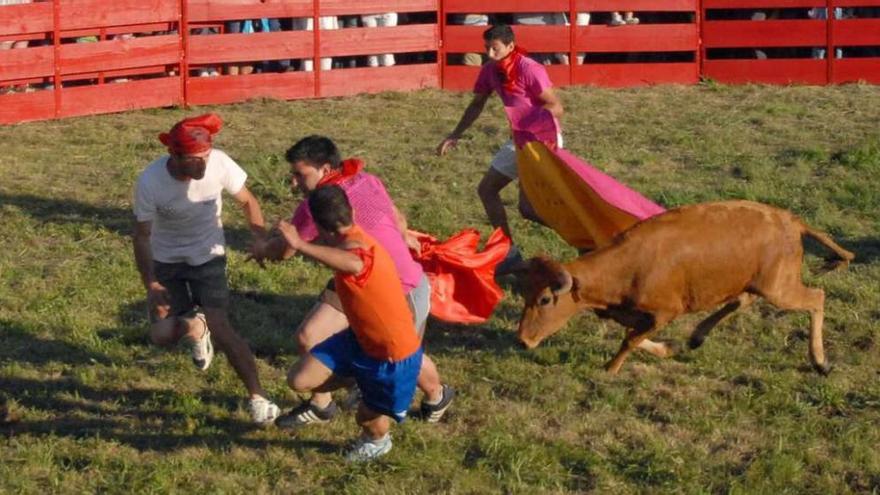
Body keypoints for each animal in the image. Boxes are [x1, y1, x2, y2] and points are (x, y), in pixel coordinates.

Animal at [516, 200, 852, 374]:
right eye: (524, 293)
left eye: (544, 300)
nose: (521, 341)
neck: (628, 266)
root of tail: (791, 221)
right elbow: (634, 334)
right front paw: (668, 348)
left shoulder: (666, 311)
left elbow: (630, 339)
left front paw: (611, 367)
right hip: (754, 283)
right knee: (740, 301)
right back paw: (697, 336)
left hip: (779, 288)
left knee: (817, 298)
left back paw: (820, 361)